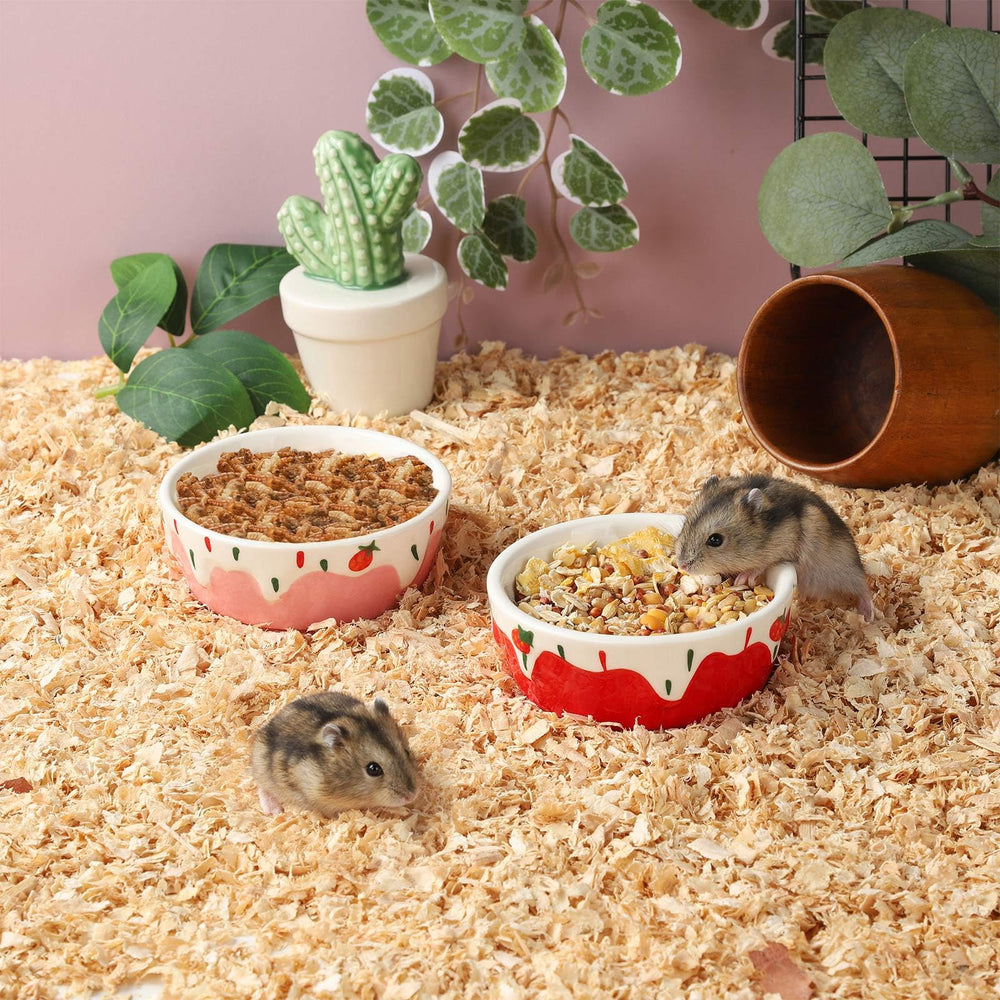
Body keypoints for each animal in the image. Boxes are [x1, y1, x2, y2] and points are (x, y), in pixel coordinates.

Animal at [250, 691, 418, 817]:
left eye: (406, 751)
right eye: (373, 769)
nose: (412, 796)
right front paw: (402, 810)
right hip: (263, 769)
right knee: (262, 787)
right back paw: (275, 812)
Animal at [675, 474, 874, 621]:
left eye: (715, 540)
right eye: (685, 523)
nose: (682, 565)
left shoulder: (787, 547)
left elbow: (764, 564)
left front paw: (742, 579)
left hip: (844, 570)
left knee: (863, 587)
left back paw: (868, 616)